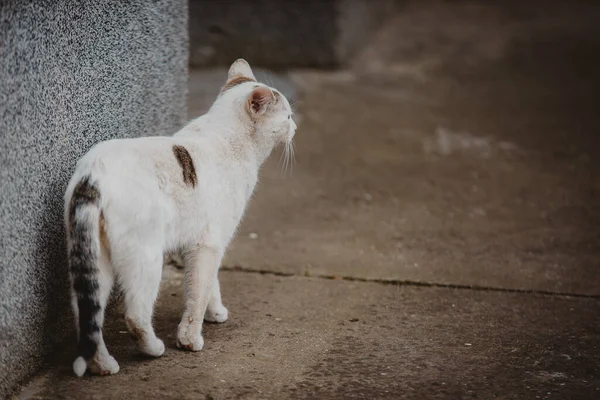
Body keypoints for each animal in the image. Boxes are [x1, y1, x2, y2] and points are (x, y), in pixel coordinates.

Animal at [64, 58, 296, 376]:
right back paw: (153, 349)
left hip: (94, 260)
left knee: (85, 314)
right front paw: (190, 339)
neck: (230, 138)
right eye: (288, 115)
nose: (295, 126)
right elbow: (198, 293)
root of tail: (93, 174)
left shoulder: (202, 242)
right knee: (135, 314)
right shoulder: (208, 243)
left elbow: (210, 283)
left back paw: (104, 365)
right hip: (146, 258)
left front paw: (215, 312)